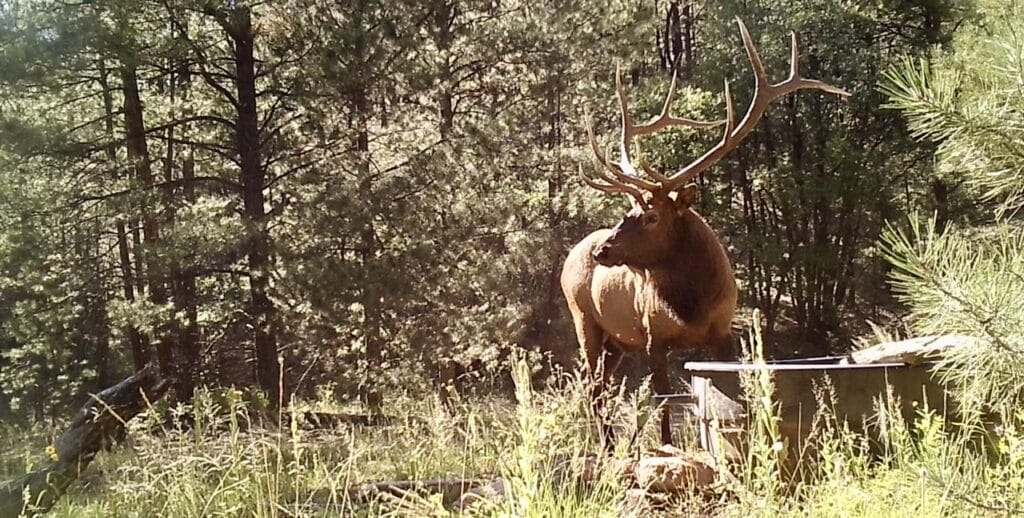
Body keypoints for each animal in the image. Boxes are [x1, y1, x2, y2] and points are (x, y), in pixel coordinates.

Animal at [561, 18, 848, 446]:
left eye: (650, 216)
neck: (691, 306)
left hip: (617, 341)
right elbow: (663, 402)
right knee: (593, 388)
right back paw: (605, 446)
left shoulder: (722, 330)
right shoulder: (653, 336)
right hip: (585, 321)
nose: (604, 251)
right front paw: (665, 446)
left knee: (598, 387)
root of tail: (568, 257)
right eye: (629, 210)